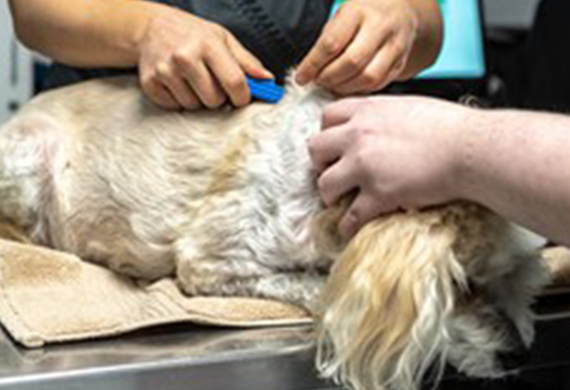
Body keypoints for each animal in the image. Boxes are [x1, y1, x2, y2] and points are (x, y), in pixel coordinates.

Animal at [0, 76, 544, 390]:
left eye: (514, 276)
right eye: (459, 285)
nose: (519, 354)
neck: (327, 183)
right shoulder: (212, 259)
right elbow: (318, 288)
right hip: (28, 162)